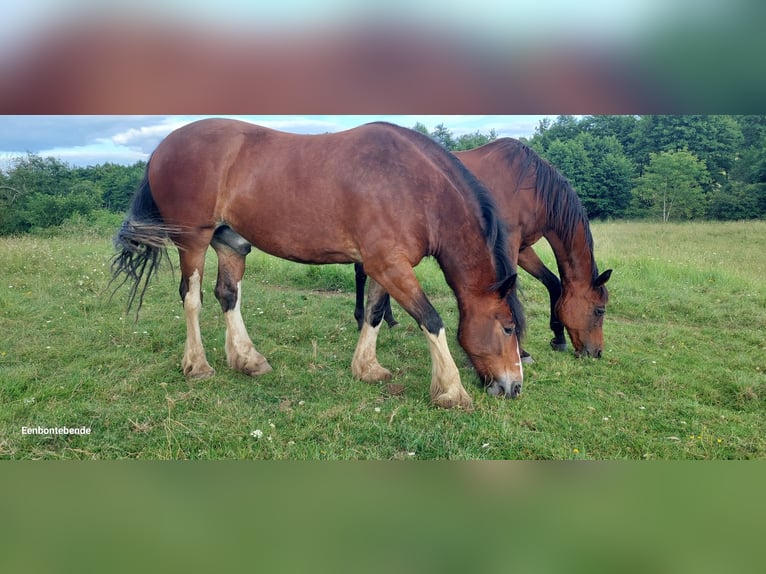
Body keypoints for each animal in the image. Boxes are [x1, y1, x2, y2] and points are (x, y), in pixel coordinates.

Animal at [112, 120, 528, 410]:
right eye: (508, 328)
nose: (514, 387)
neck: (414, 188)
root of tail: (162, 147)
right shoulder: (390, 265)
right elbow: (431, 320)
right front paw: (452, 390)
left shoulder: (382, 266)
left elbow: (375, 313)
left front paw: (367, 368)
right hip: (193, 241)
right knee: (191, 298)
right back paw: (197, 366)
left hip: (230, 242)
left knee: (227, 295)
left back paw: (247, 359)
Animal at [356, 137, 616, 358]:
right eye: (599, 310)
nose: (596, 352)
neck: (531, 189)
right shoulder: (508, 244)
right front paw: (521, 351)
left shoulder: (522, 248)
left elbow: (553, 283)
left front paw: (558, 338)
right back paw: (363, 319)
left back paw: (388, 319)